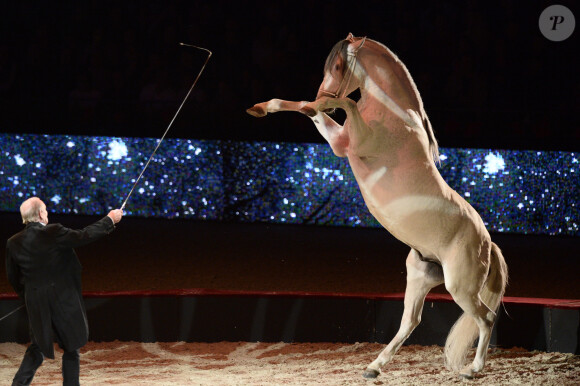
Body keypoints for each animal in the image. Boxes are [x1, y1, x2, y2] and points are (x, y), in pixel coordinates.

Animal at [248, 34, 508, 380]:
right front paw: (262, 108)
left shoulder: (346, 145)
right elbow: (305, 108)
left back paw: (472, 369)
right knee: (410, 322)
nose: (324, 94)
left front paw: (319, 104)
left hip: (461, 287)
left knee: (486, 318)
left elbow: (342, 106)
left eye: (338, 66)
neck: (395, 114)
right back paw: (373, 367)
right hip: (420, 276)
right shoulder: (341, 141)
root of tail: (488, 243)